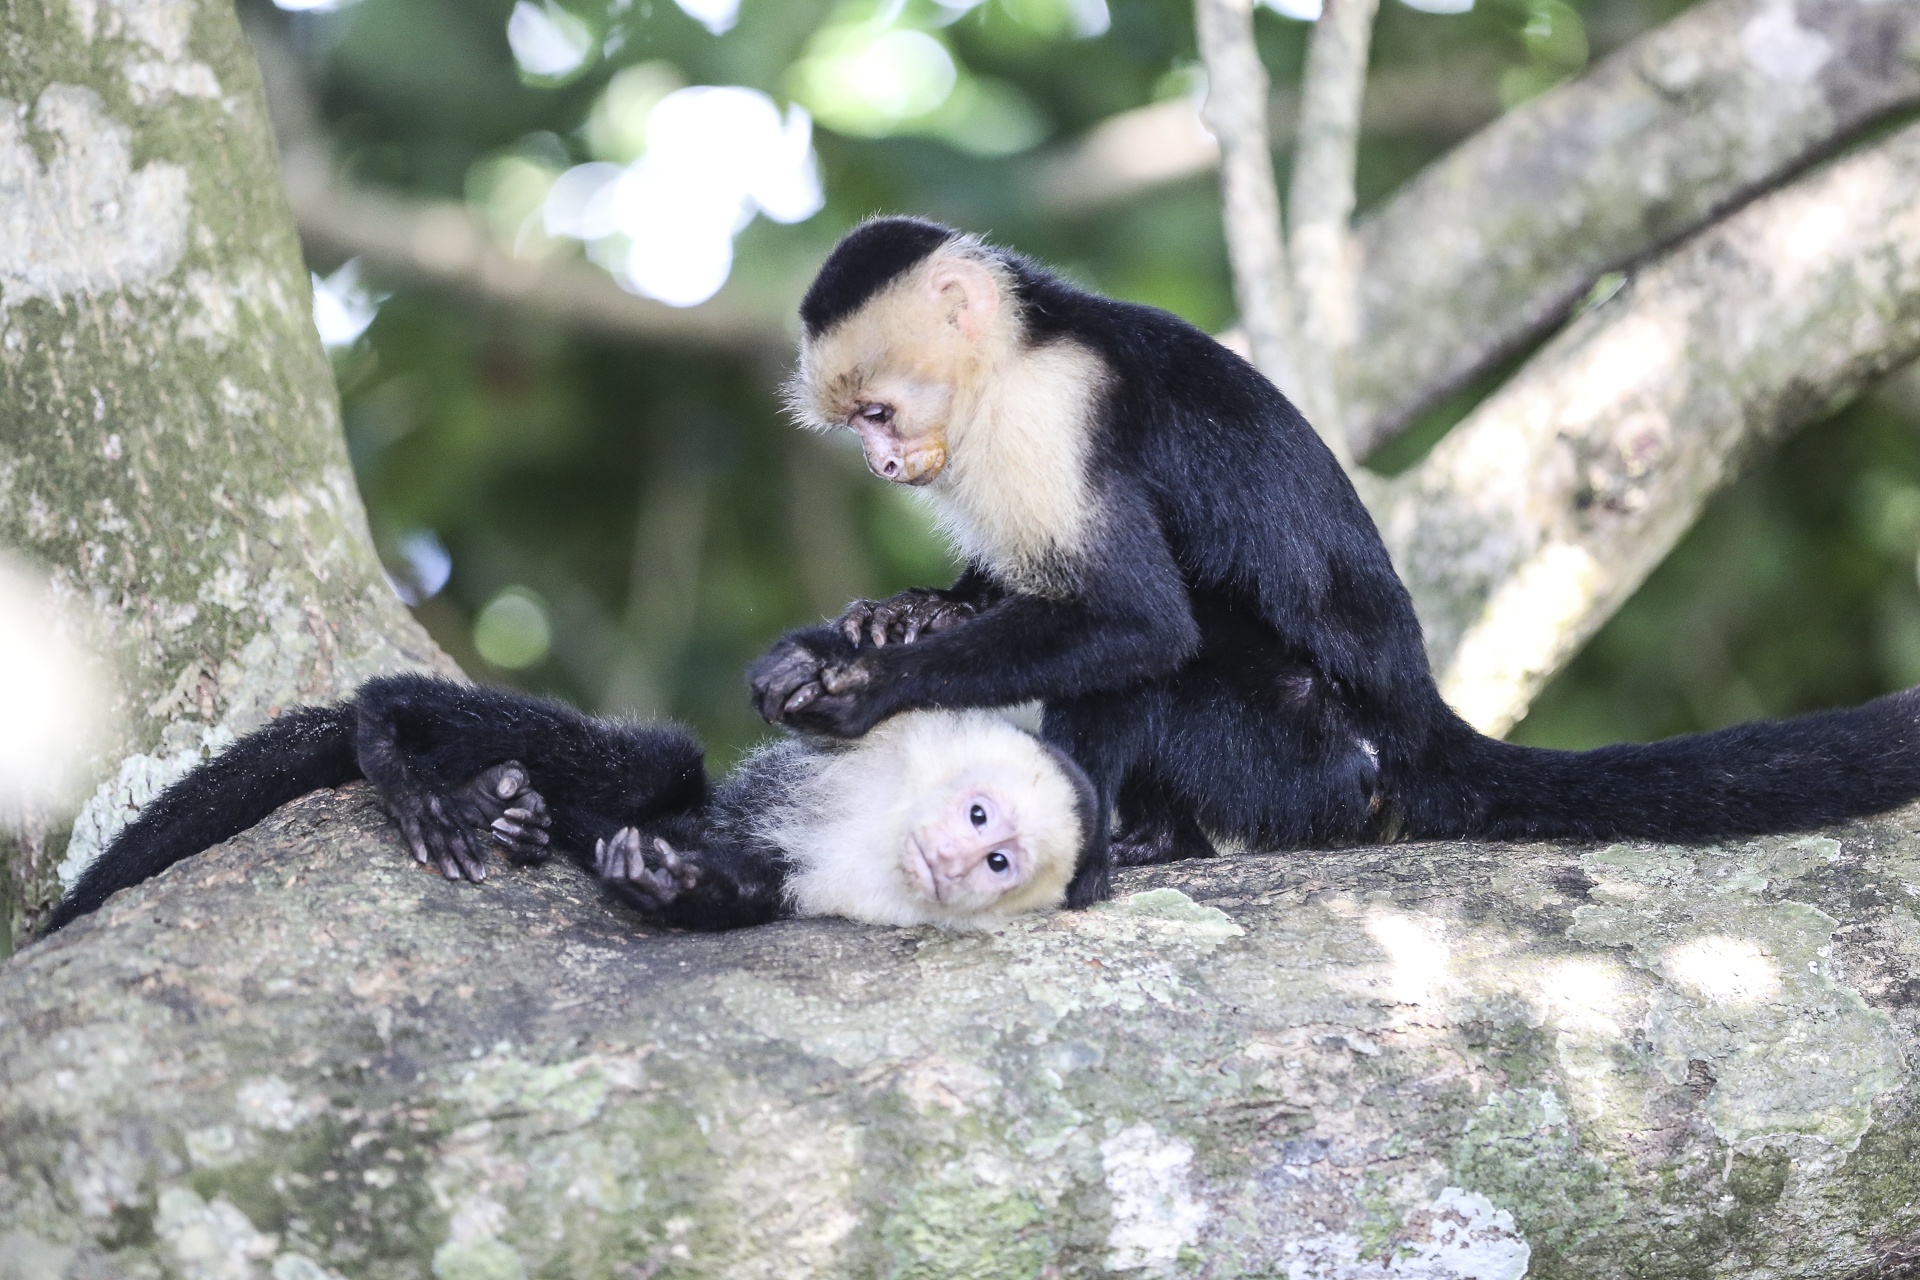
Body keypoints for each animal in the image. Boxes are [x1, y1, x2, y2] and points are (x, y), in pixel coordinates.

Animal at [744, 214, 1920, 905]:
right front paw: (897, 618)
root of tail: (1419, 727)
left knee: (1167, 654)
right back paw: (1161, 841)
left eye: (879, 411)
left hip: (1314, 761)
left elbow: (1131, 618)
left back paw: (1116, 853)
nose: (883, 459)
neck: (1016, 353)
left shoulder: (1047, 410)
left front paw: (871, 682)